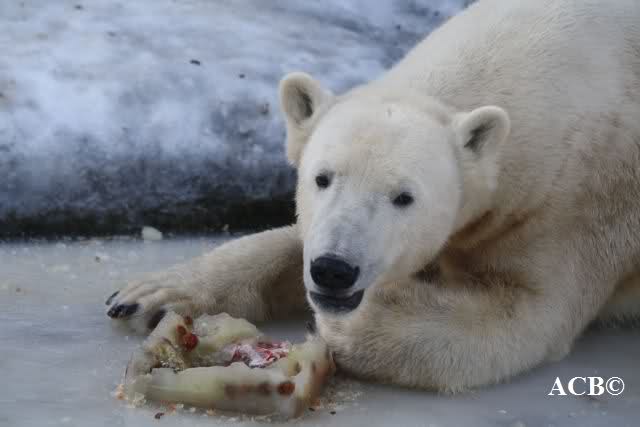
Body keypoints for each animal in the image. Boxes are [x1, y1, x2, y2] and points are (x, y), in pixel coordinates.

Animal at [106, 0, 640, 392]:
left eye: (404, 197)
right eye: (322, 178)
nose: (334, 271)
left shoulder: (577, 206)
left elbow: (529, 312)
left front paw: (351, 326)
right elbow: (290, 242)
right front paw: (149, 296)